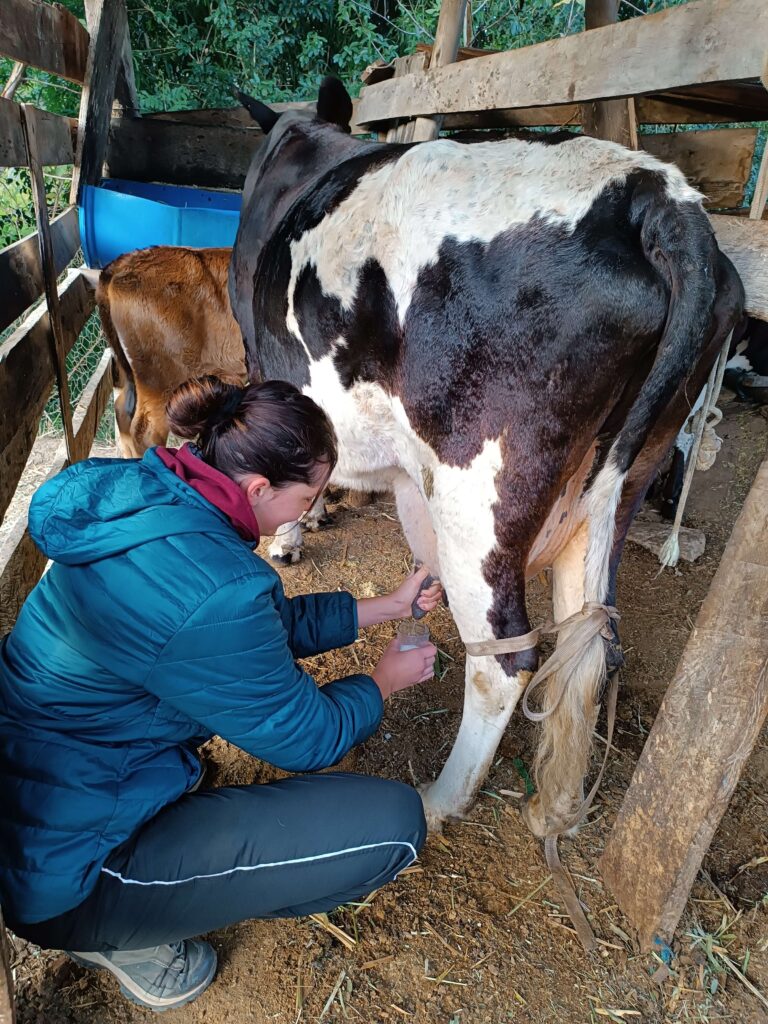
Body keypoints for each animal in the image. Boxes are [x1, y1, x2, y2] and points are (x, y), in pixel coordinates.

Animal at [228, 77, 745, 831]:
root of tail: (656, 193)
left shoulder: (265, 360)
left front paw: (293, 532)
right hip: (629, 472)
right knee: (590, 635)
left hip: (482, 488)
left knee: (504, 658)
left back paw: (442, 797)